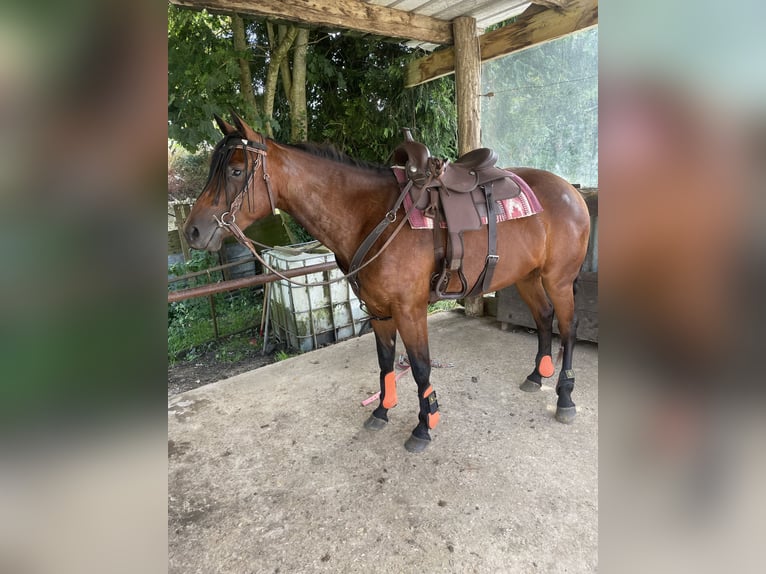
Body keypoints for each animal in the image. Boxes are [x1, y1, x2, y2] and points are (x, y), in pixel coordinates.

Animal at [183, 113, 592, 454]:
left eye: (237, 171)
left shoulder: (409, 310)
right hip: (528, 277)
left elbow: (421, 366)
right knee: (543, 317)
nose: (192, 231)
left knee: (568, 327)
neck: (372, 216)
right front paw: (382, 410)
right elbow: (384, 362)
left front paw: (425, 425)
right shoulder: (379, 311)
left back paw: (565, 397)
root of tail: (572, 191)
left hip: (558, 279)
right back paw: (537, 376)